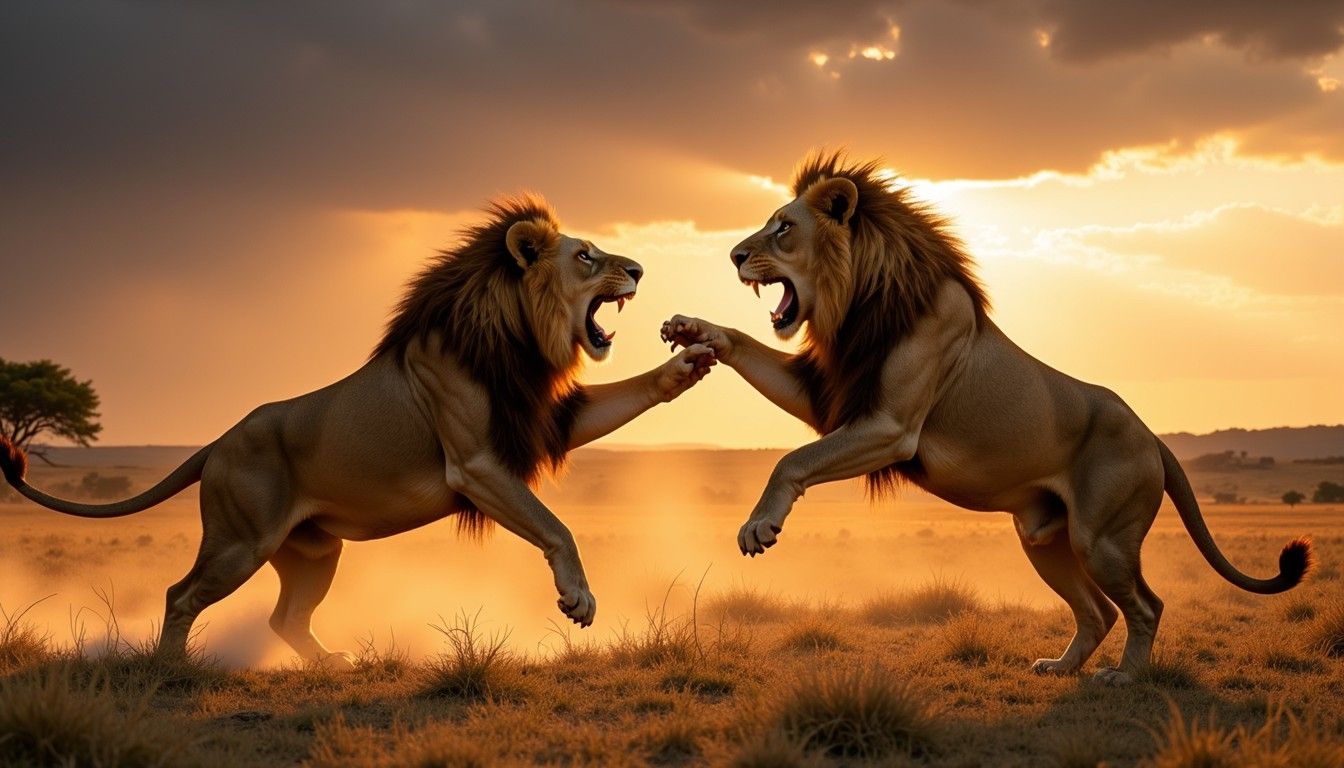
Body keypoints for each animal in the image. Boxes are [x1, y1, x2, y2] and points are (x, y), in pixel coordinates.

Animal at [0, 194, 717, 670]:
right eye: (587, 257)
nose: (641, 271)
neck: (516, 337)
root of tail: (217, 442)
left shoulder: (544, 419)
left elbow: (629, 396)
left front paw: (689, 362)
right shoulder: (477, 464)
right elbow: (556, 526)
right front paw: (578, 599)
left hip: (315, 552)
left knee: (283, 616)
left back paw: (331, 665)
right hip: (239, 542)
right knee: (181, 595)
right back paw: (172, 670)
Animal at [661, 152, 1311, 685]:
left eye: (784, 227)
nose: (734, 255)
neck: (857, 304)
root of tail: (1152, 435)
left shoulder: (891, 426)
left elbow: (793, 460)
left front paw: (759, 525)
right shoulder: (830, 393)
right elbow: (747, 346)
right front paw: (694, 331)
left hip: (1101, 537)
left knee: (1146, 606)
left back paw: (1124, 678)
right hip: (1043, 537)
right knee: (1098, 612)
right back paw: (1061, 668)